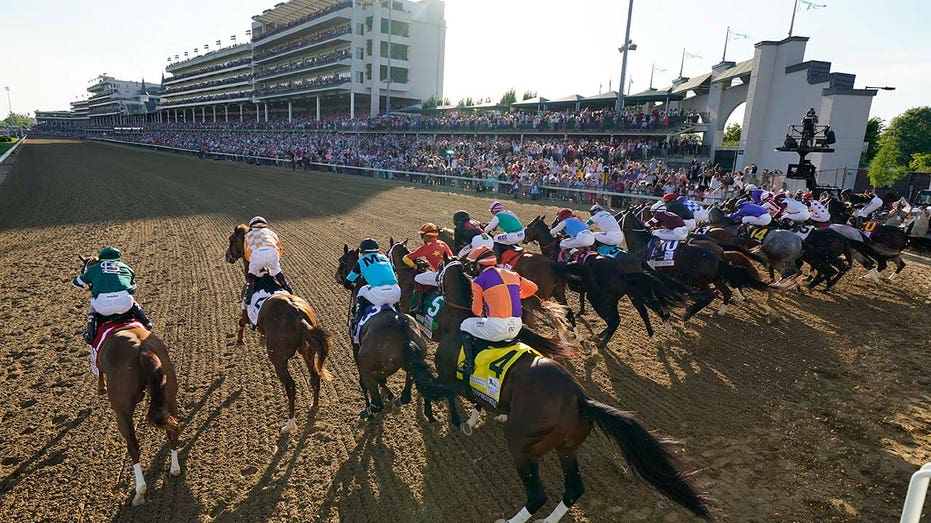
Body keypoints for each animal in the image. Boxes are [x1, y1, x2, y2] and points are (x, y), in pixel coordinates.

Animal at [76, 256, 182, 506]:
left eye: (85, 268)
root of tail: (142, 350)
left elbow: (99, 374)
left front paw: (100, 388)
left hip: (122, 409)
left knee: (133, 445)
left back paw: (140, 491)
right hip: (169, 395)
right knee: (172, 428)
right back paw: (174, 469)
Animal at [334, 245, 440, 422]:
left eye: (341, 261)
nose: (337, 277)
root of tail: (403, 334)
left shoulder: (356, 349)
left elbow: (369, 383)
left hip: (372, 365)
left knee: (376, 395)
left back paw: (370, 409)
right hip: (414, 359)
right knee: (406, 395)